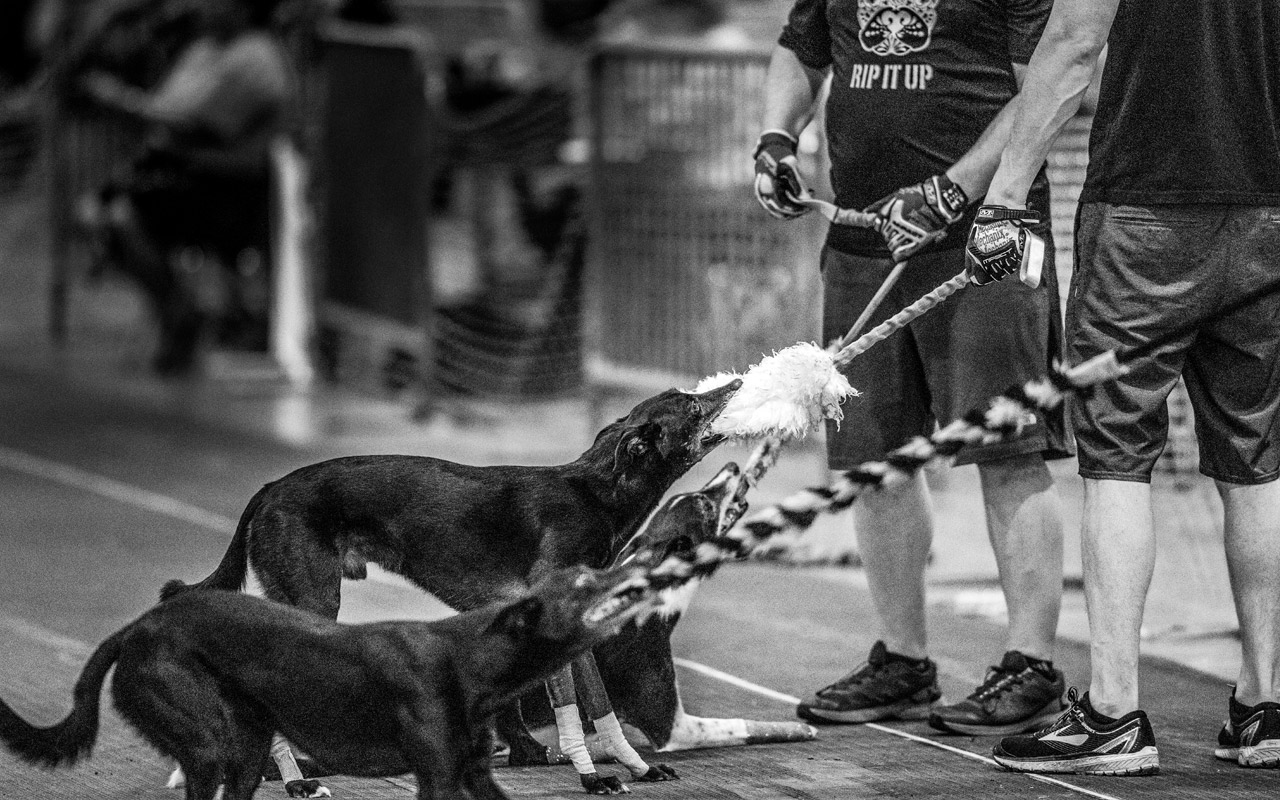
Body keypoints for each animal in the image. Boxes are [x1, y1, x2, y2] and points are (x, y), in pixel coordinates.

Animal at [0, 560, 660, 798]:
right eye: (583, 583)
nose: (643, 567)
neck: (468, 654)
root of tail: (137, 628)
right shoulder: (438, 777)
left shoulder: (472, 773)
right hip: (207, 746)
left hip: (244, 752)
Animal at [160, 384, 742, 778]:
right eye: (693, 407)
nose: (735, 383)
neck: (595, 493)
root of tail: (270, 488)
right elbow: (573, 712)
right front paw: (592, 778)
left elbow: (597, 708)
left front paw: (634, 770)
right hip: (314, 598)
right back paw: (297, 778)